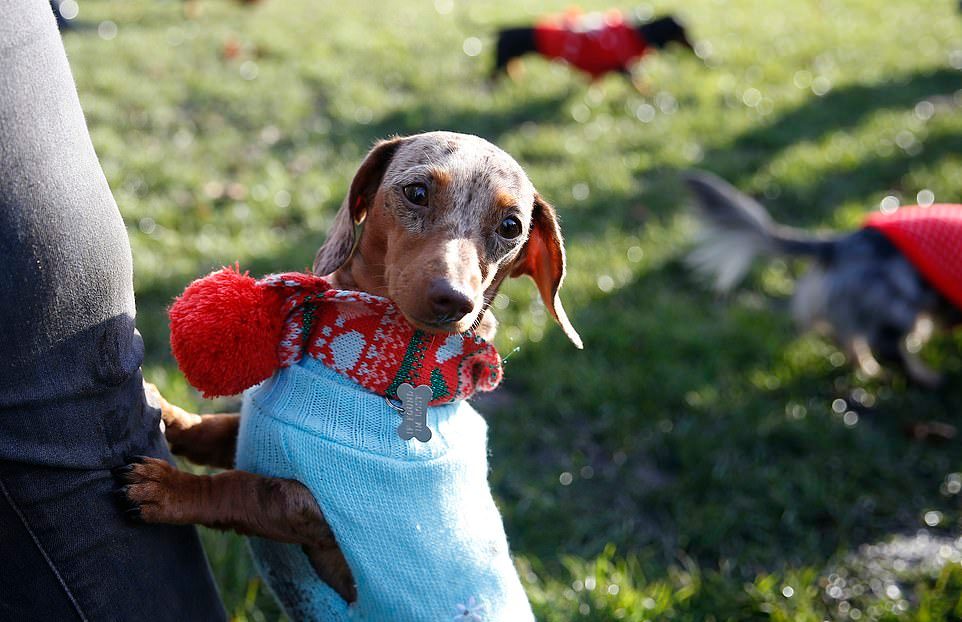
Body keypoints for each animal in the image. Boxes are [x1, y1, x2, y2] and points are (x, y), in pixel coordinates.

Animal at [112, 133, 576, 620]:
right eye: (417, 192)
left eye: (510, 226)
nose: (455, 300)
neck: (363, 372)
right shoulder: (252, 433)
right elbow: (214, 430)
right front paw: (168, 414)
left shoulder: (314, 515)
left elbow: (248, 489)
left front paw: (168, 490)